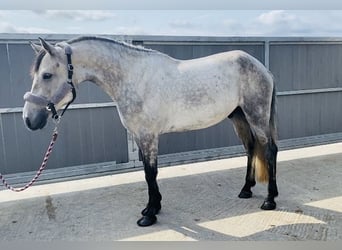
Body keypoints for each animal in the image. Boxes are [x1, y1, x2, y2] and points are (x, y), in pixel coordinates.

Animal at [22, 36, 278, 227]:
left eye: (46, 75)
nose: (29, 119)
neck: (133, 78)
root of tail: (262, 68)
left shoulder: (148, 136)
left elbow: (150, 173)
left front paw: (150, 214)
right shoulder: (139, 136)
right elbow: (147, 173)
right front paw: (151, 207)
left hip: (256, 115)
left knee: (270, 150)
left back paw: (270, 200)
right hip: (239, 117)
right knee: (251, 148)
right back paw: (246, 190)